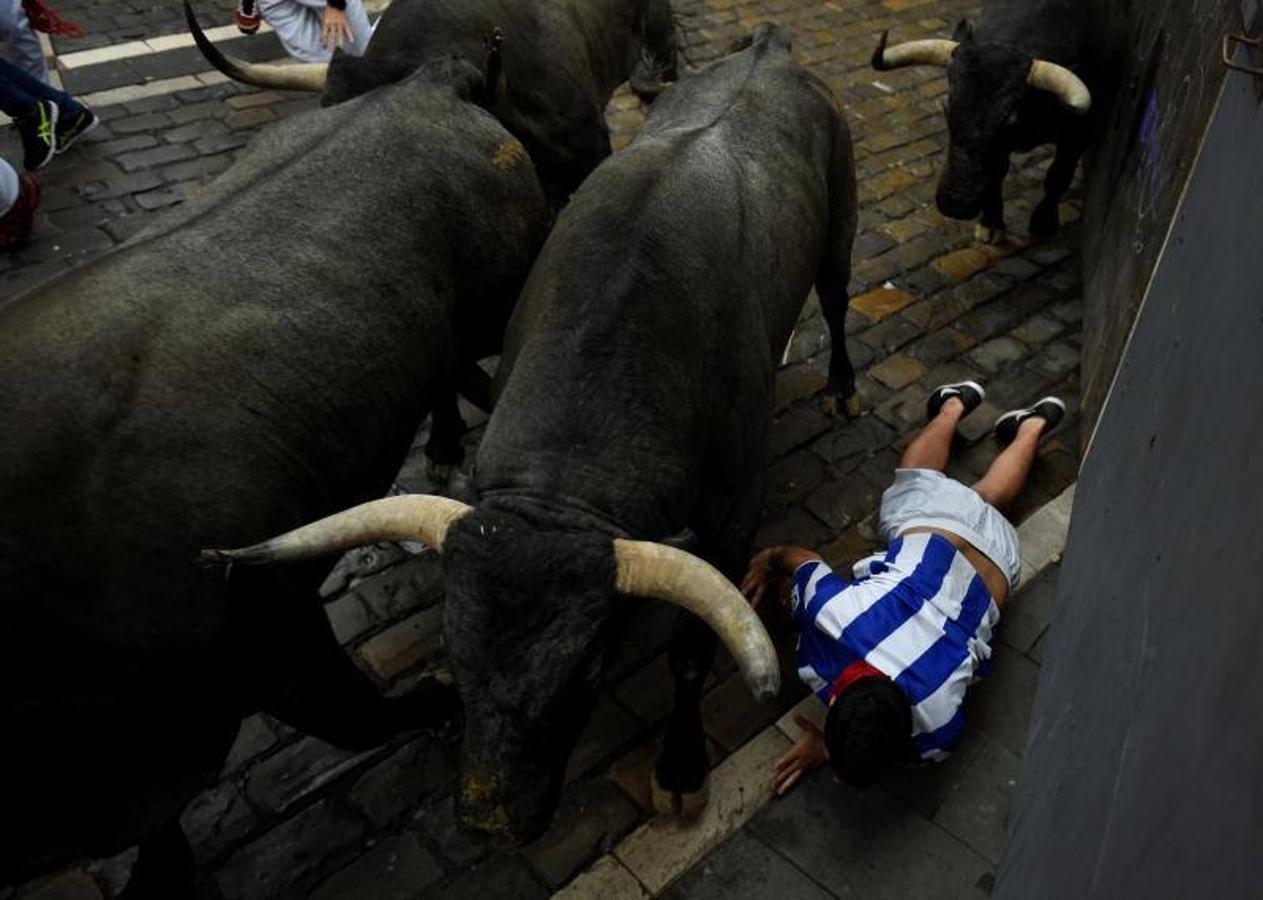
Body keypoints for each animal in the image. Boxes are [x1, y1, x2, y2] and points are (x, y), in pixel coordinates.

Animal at [209, 24, 858, 848]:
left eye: (586, 673)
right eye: (454, 654)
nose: (489, 821)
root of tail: (769, 49)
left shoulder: (736, 507)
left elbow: (688, 653)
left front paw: (680, 771)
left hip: (840, 233)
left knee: (836, 302)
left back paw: (843, 388)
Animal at [873, 0, 1091, 242]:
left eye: (1010, 120)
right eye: (947, 108)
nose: (954, 204)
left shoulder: (1077, 135)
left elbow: (1058, 176)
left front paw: (1043, 223)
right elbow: (996, 173)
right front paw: (991, 223)